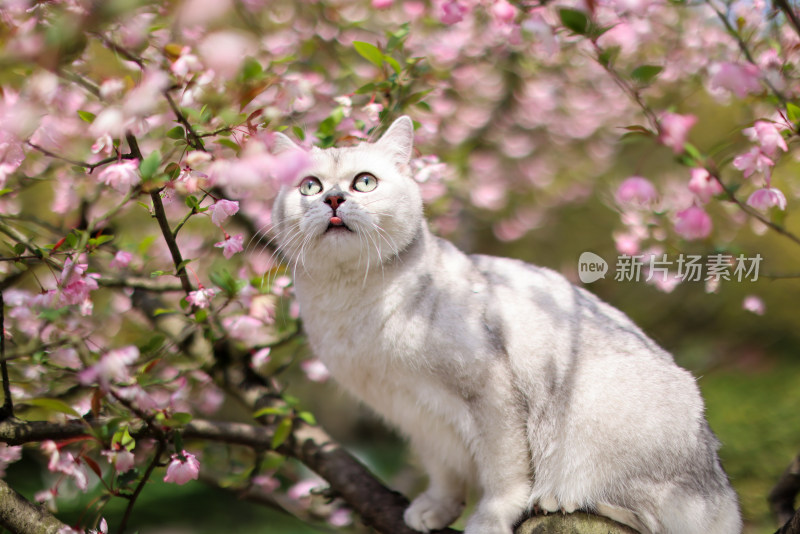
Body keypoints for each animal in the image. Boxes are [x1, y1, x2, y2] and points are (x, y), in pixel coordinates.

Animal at [270, 117, 744, 534]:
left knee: (644, 513)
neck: (350, 301)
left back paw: (559, 499)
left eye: (364, 182)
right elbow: (443, 473)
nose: (333, 199)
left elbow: (503, 475)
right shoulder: (417, 413)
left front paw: (489, 520)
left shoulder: (490, 392)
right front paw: (434, 510)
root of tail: (719, 486)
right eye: (310, 186)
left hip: (593, 407)